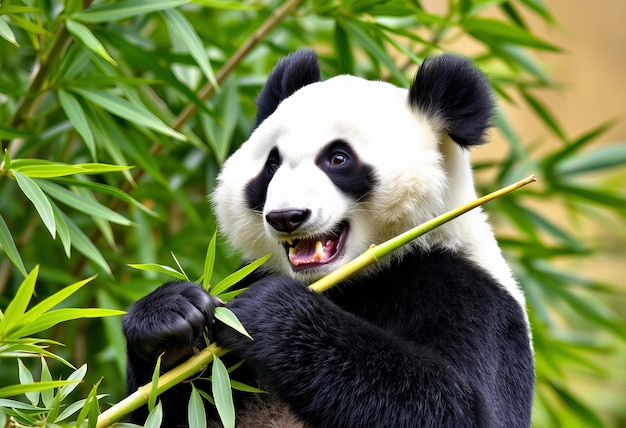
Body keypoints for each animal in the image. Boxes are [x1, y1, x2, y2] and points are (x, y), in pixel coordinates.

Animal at [122, 48, 532, 426]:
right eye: (272, 165)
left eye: (338, 158)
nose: (287, 217)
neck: (345, 283)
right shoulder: (247, 283)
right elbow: (162, 406)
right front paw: (171, 319)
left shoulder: (469, 297)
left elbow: (463, 407)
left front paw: (270, 313)